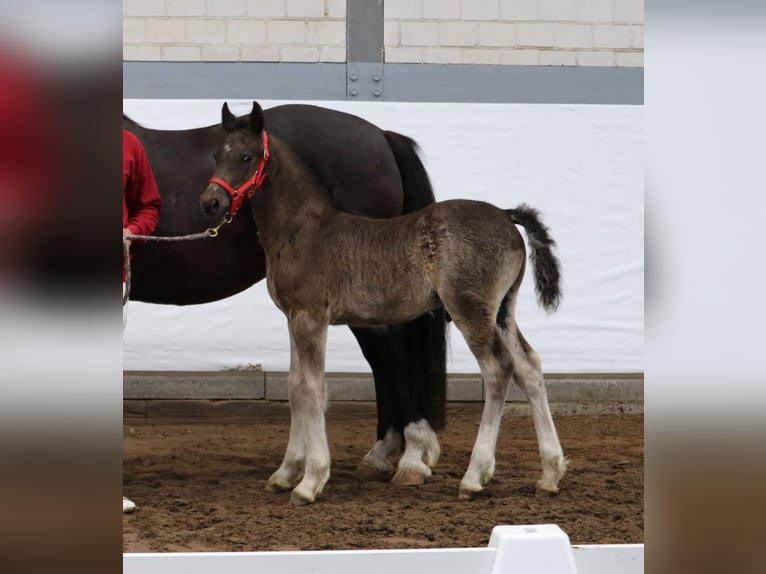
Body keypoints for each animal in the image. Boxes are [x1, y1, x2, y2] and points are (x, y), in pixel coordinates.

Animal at [124, 103, 450, 482]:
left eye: (246, 157)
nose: (211, 204)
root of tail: (381, 136)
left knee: (396, 355)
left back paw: (409, 458)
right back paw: (384, 453)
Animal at [201, 103, 568, 508]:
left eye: (246, 156)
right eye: (217, 154)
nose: (210, 202)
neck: (301, 229)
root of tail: (506, 215)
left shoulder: (311, 318)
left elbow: (313, 390)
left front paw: (310, 481)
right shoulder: (294, 317)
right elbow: (295, 387)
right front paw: (285, 473)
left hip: (469, 309)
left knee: (498, 369)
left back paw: (474, 476)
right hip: (503, 310)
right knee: (529, 367)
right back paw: (550, 474)